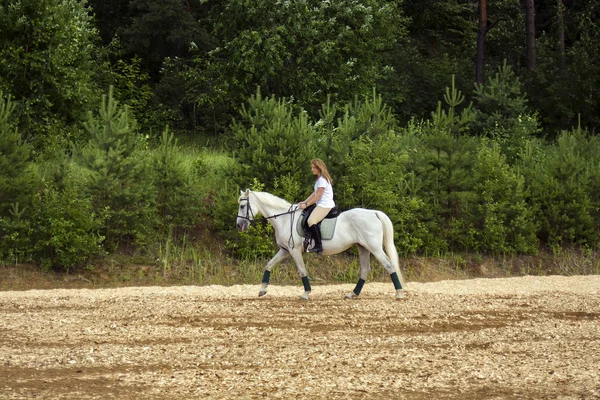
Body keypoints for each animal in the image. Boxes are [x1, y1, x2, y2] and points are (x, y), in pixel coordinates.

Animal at [237, 191, 406, 300]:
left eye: (242, 206)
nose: (239, 225)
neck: (284, 219)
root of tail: (374, 213)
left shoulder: (294, 250)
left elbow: (302, 270)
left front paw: (306, 294)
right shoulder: (285, 250)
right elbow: (269, 265)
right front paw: (262, 290)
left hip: (374, 248)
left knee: (389, 265)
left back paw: (398, 293)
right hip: (362, 247)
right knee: (365, 270)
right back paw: (352, 294)